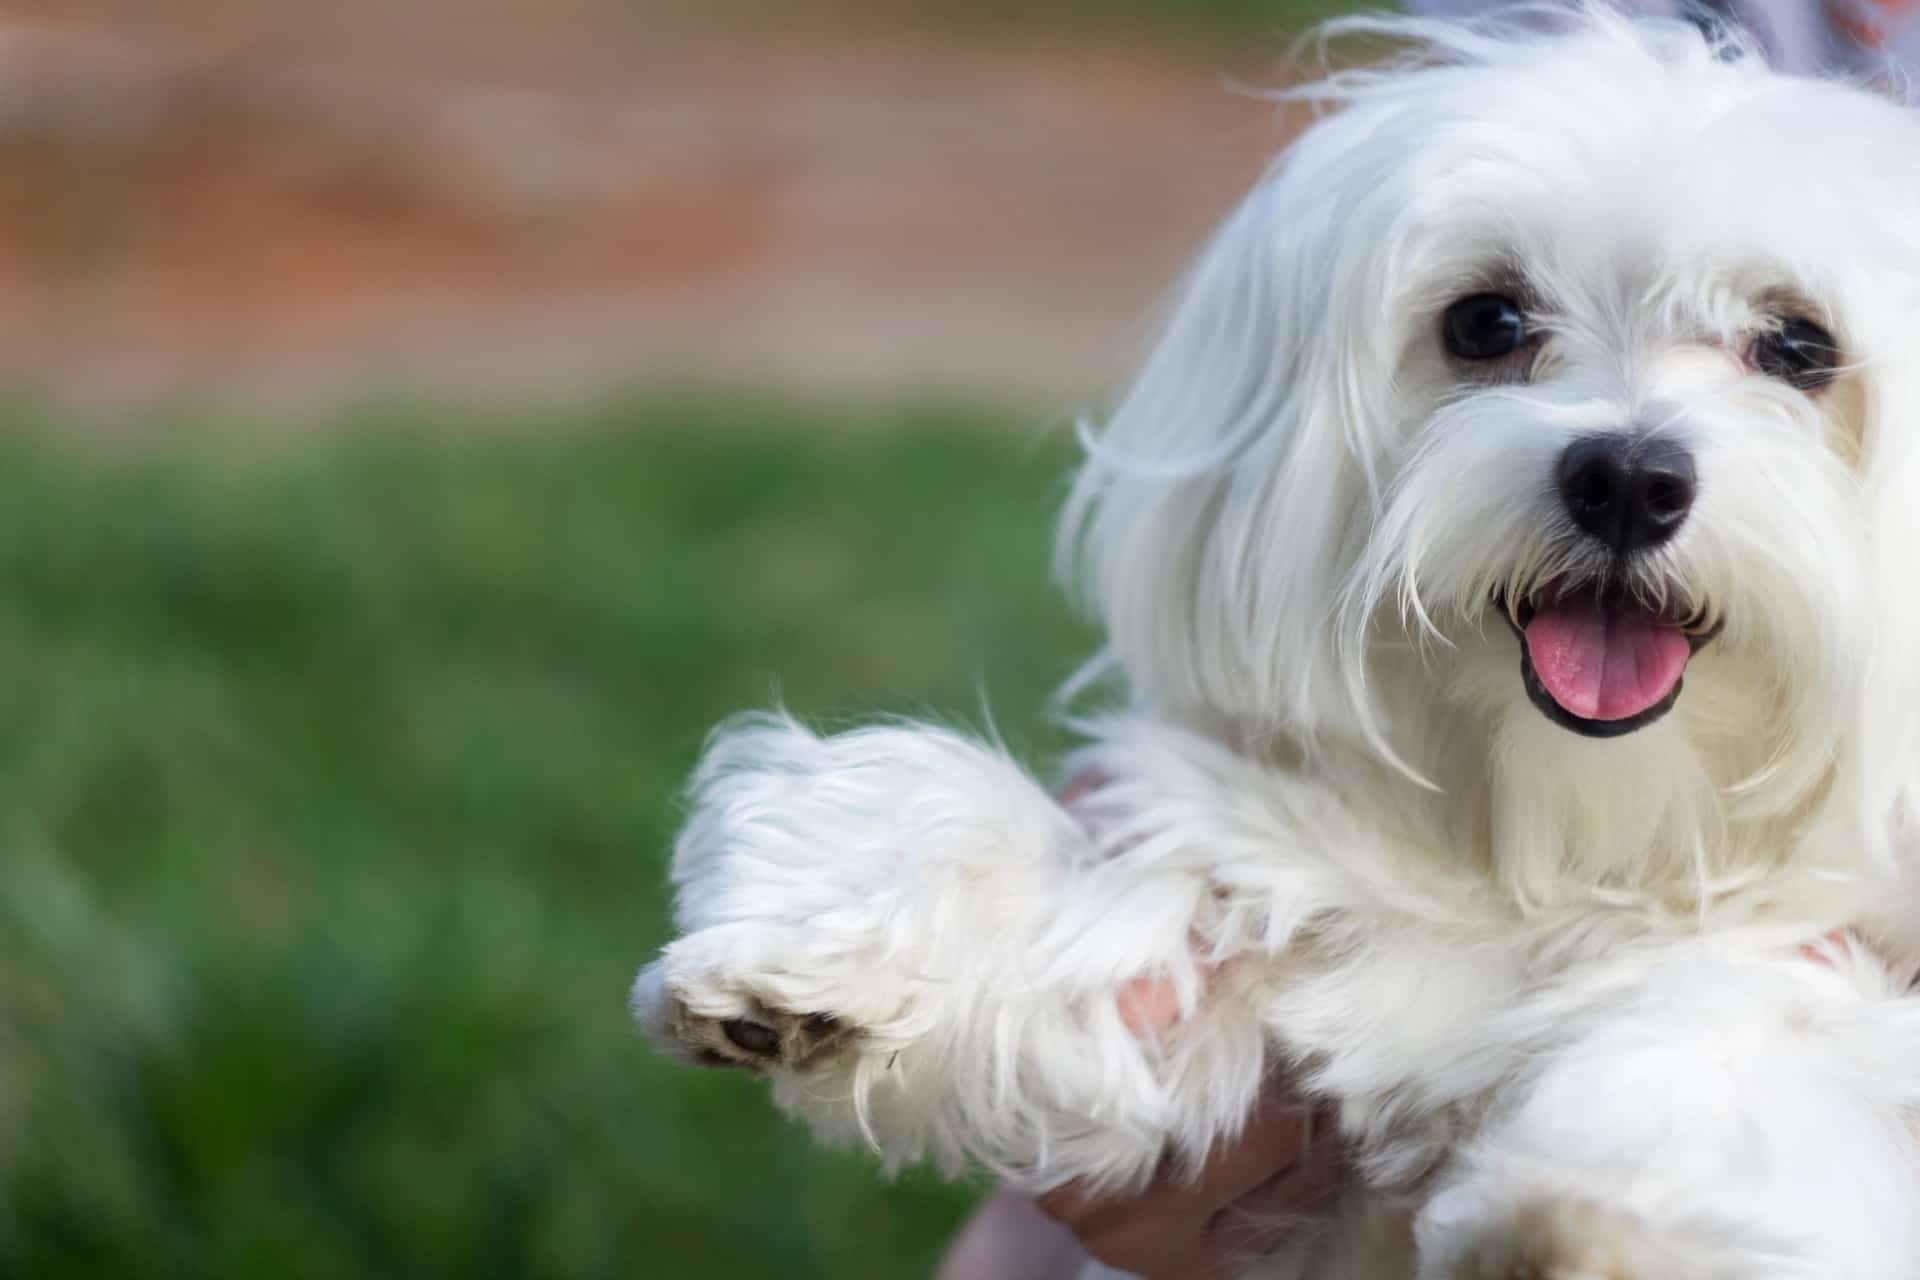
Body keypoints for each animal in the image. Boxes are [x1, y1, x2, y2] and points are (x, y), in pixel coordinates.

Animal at [633, 12, 1920, 1280]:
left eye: (1798, 346)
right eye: (1488, 321)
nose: (1626, 478)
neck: (1562, 845)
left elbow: (1753, 1040)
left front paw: (1601, 1212)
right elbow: (1085, 894)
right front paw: (829, 937)